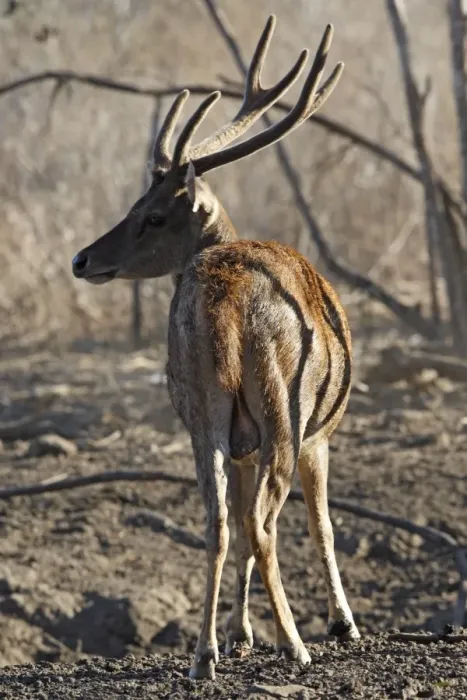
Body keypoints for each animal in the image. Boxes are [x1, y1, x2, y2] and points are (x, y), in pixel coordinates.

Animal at [72, 15, 360, 680]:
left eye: (151, 215)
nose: (82, 259)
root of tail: (225, 302)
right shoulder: (321, 434)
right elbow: (323, 525)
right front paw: (341, 624)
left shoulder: (238, 440)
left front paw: (238, 633)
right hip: (284, 407)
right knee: (262, 522)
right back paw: (296, 644)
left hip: (201, 408)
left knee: (219, 520)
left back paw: (204, 654)